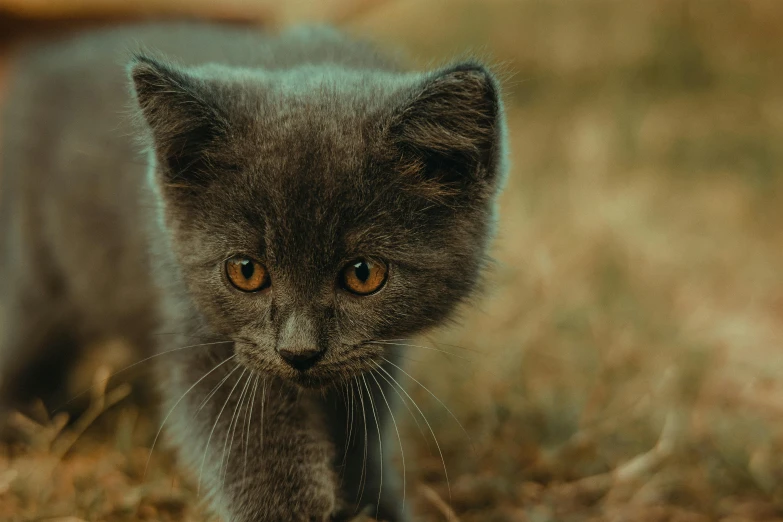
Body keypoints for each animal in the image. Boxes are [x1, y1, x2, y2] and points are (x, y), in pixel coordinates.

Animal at [0, 22, 508, 520]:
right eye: (246, 271)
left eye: (364, 273)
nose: (299, 352)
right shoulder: (203, 333)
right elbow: (252, 442)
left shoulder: (376, 352)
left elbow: (360, 429)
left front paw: (373, 505)